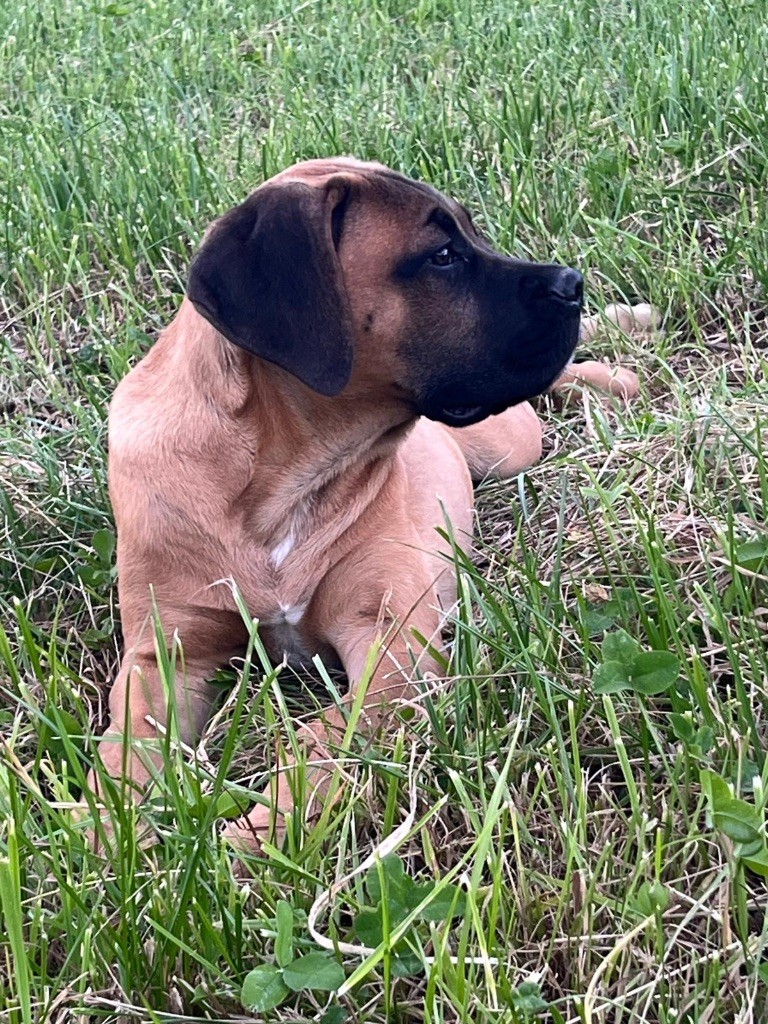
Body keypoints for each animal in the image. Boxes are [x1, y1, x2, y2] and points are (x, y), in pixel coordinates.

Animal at [94, 157, 647, 851]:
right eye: (442, 256)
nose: (572, 283)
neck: (279, 480)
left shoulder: (391, 643)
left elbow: (320, 740)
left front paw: (256, 835)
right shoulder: (164, 654)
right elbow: (121, 753)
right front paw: (105, 843)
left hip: (509, 444)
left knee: (556, 385)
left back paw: (616, 375)